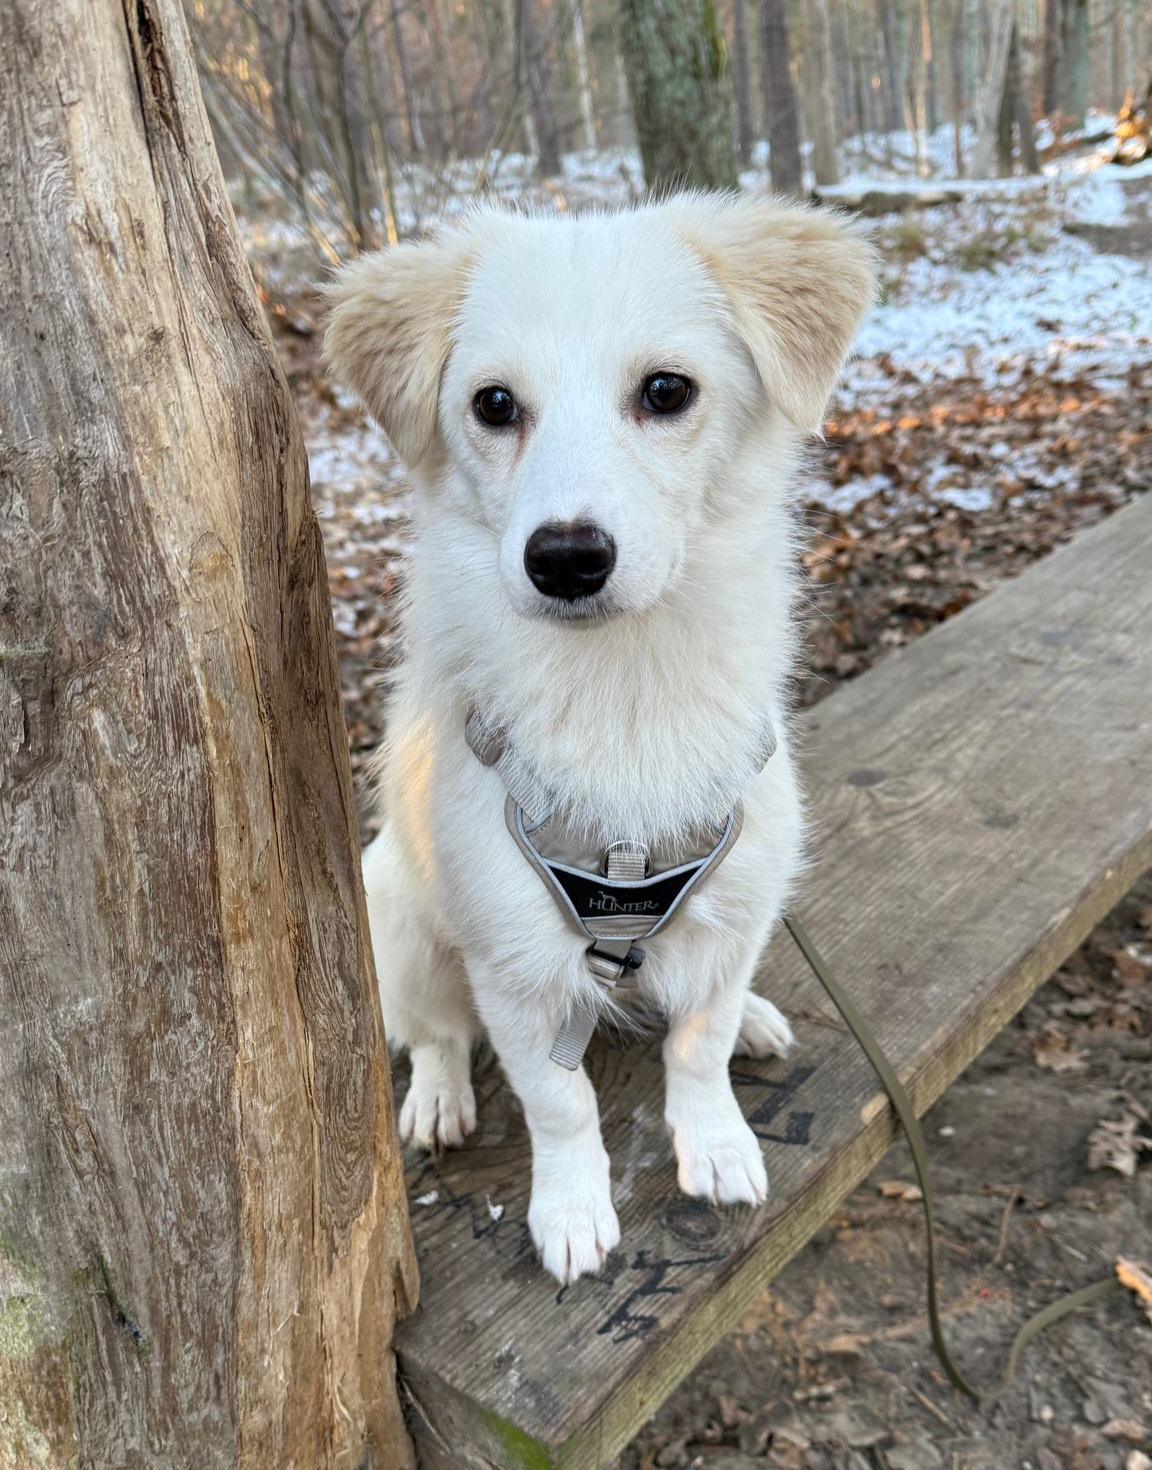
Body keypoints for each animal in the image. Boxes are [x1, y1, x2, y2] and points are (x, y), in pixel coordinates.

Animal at [323, 198, 875, 1287]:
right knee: (432, 1029)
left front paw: (718, 1142)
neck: (625, 692)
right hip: (400, 917)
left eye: (666, 391)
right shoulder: (512, 965)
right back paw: (439, 1095)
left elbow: (697, 1044)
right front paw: (573, 1211)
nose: (567, 559)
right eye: (494, 404)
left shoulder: (738, 900)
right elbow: (558, 1101)